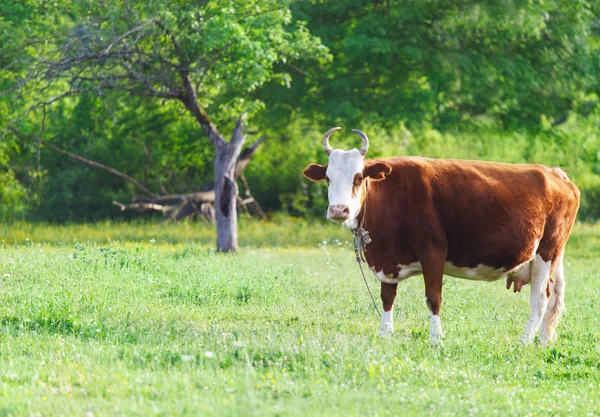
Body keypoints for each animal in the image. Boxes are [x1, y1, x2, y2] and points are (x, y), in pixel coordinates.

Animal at [304, 127, 580, 344]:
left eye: (359, 177)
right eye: (327, 178)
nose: (339, 210)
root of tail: (554, 172)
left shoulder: (433, 251)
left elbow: (433, 298)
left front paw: (437, 338)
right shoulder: (388, 258)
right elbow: (387, 297)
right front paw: (385, 333)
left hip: (547, 252)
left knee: (540, 299)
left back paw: (524, 340)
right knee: (553, 297)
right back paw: (542, 341)